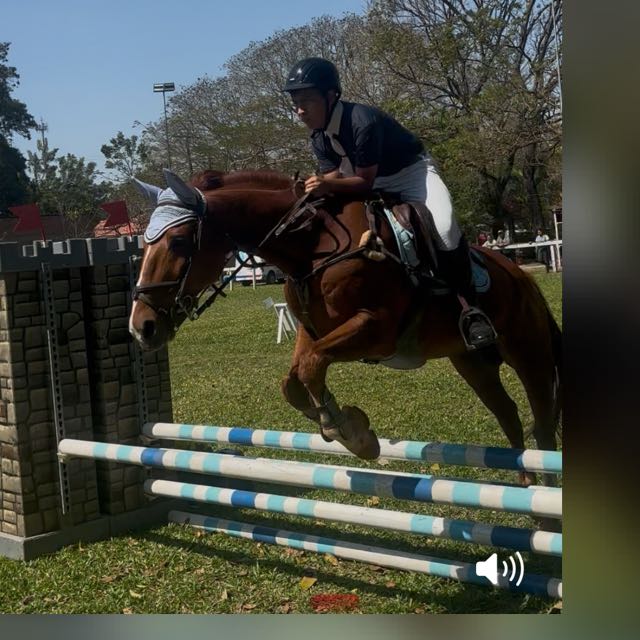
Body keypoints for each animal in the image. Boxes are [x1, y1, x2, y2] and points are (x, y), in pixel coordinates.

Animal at [129, 168, 562, 489]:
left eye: (179, 242)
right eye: (142, 247)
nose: (141, 328)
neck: (310, 245)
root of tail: (520, 274)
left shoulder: (376, 329)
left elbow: (310, 368)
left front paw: (351, 433)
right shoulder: (312, 332)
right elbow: (295, 378)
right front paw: (337, 421)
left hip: (529, 353)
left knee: (542, 423)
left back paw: (546, 497)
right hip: (471, 362)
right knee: (508, 414)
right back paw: (527, 485)